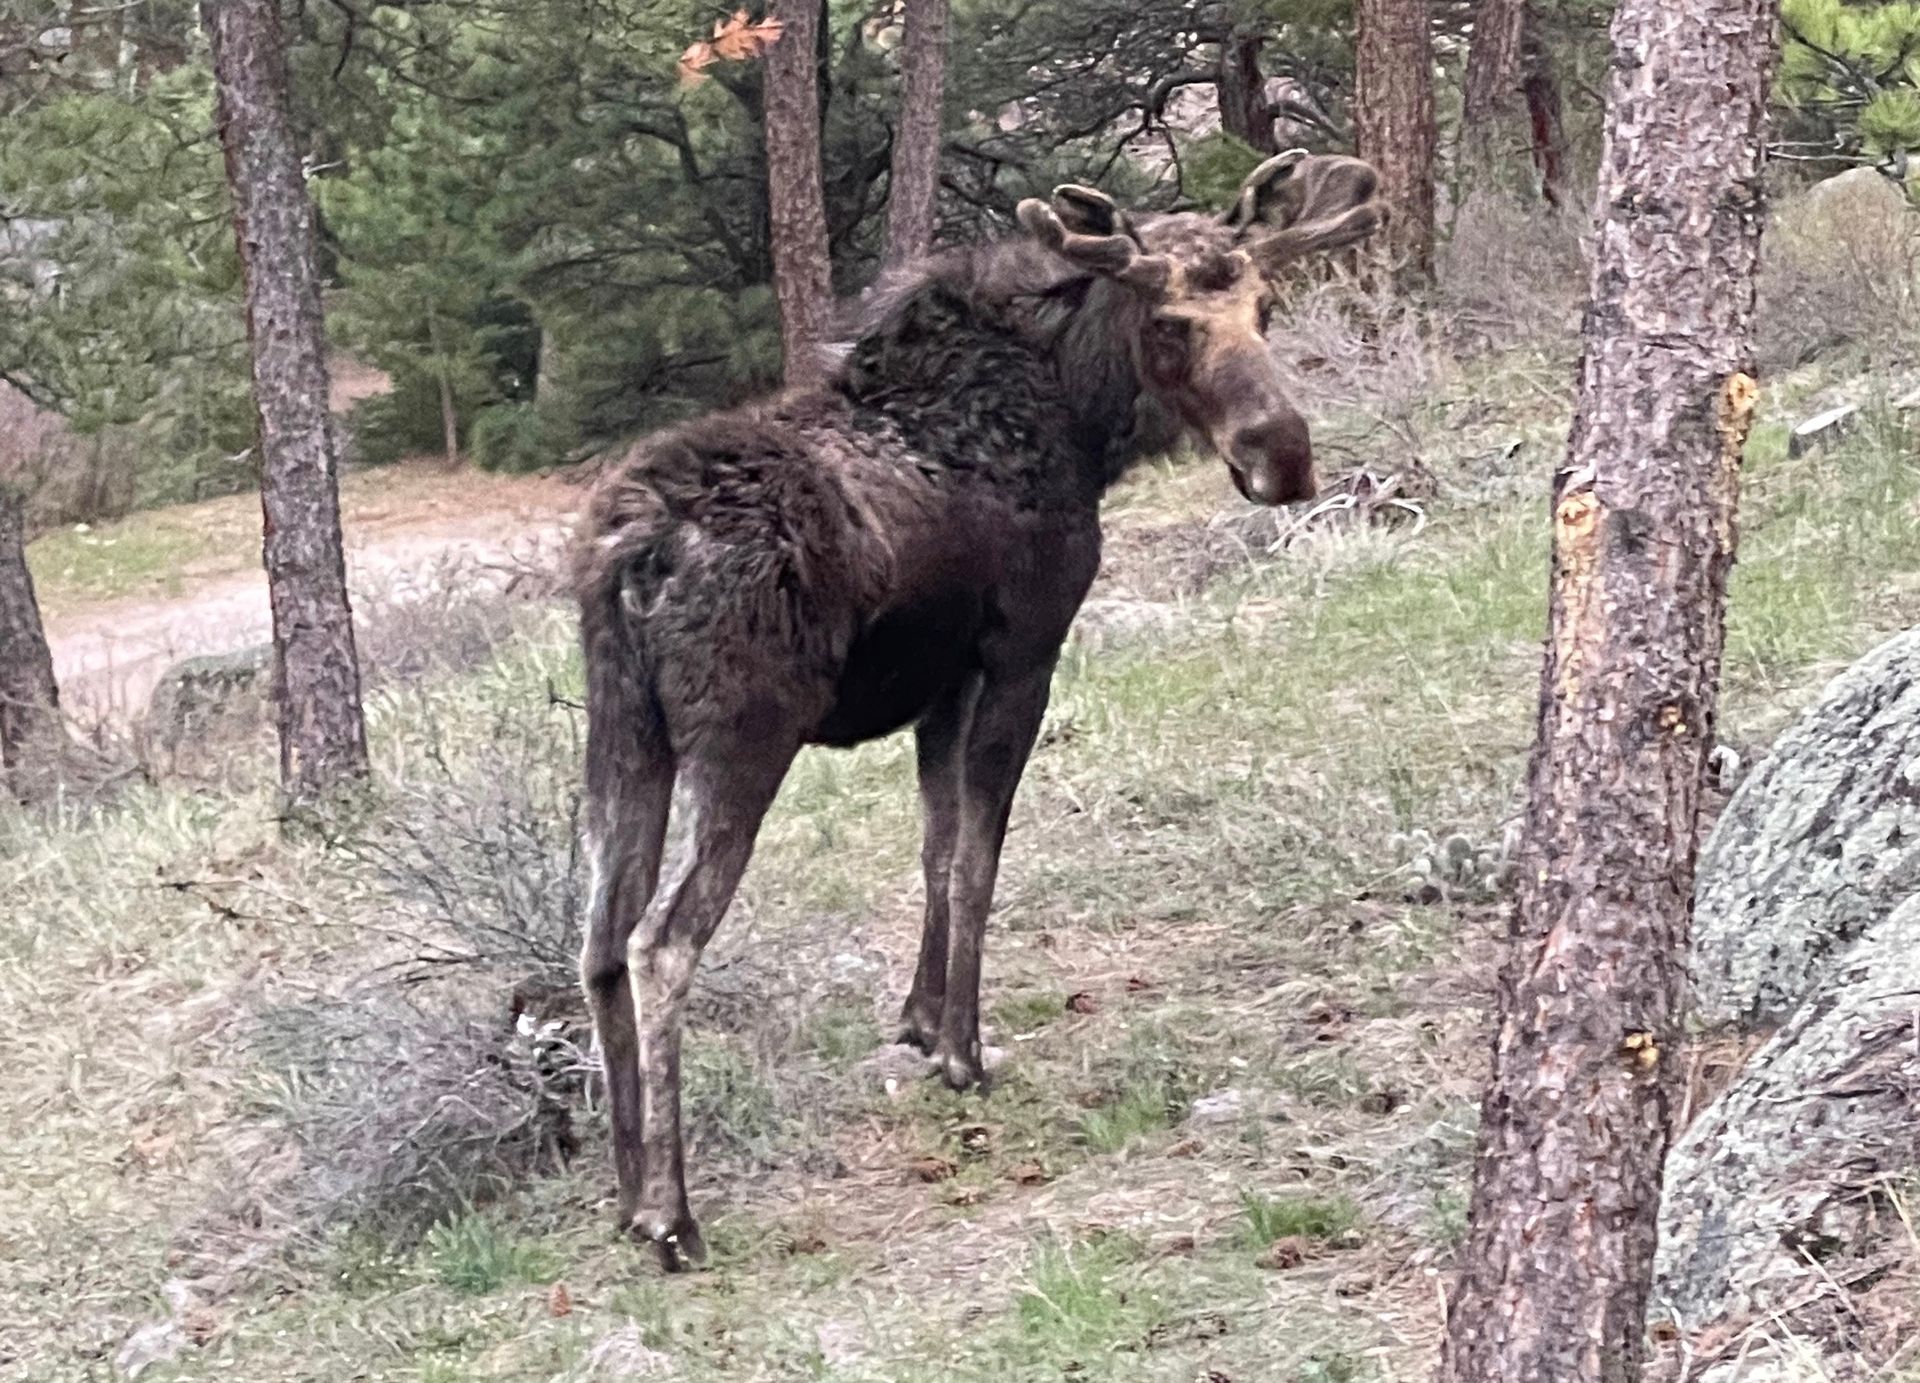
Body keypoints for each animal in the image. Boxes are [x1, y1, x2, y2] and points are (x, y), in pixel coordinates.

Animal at [572, 150, 1387, 1268]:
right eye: (1170, 323)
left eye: (1265, 307)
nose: (1285, 456)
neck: (1080, 424)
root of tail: (632, 556)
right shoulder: (1021, 653)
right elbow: (977, 860)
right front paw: (963, 1050)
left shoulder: (943, 685)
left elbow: (931, 845)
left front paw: (918, 1021)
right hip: (741, 737)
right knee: (663, 942)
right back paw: (670, 1211)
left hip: (623, 738)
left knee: (599, 939)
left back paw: (620, 1189)